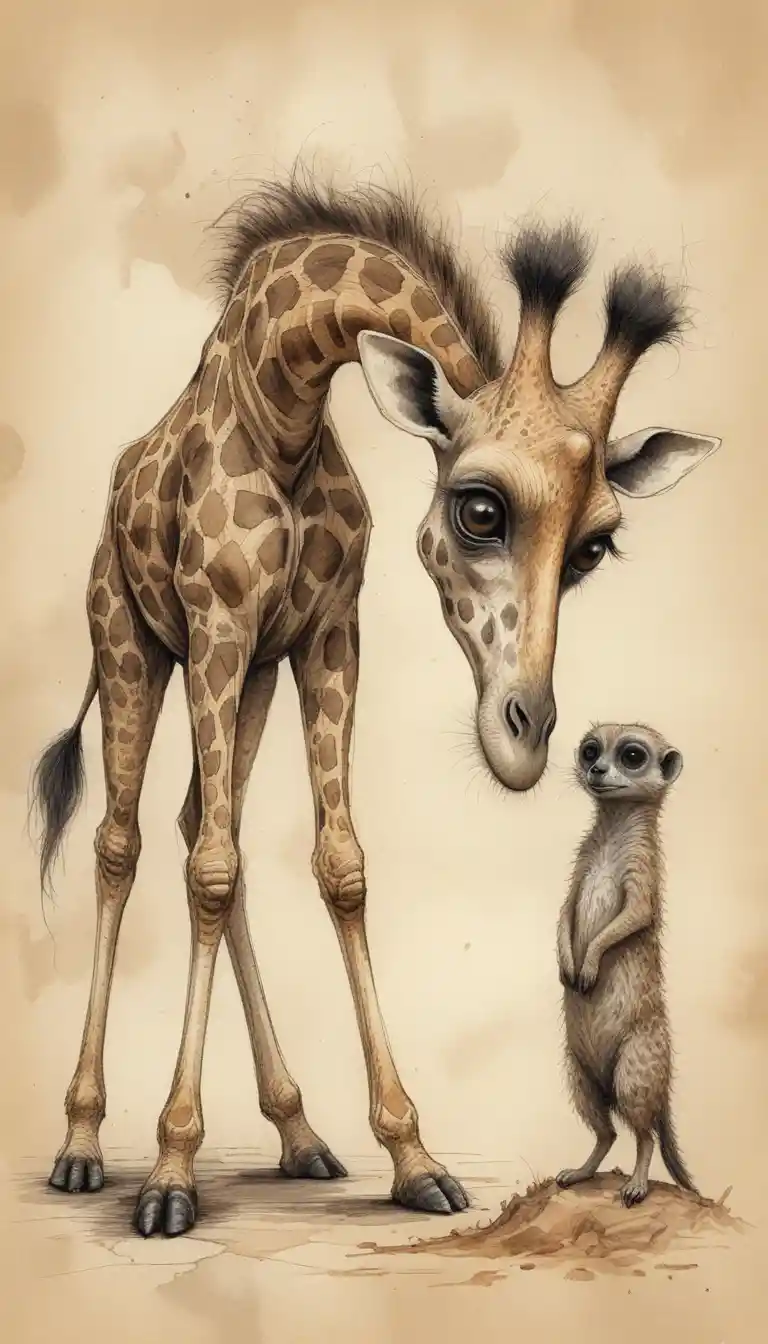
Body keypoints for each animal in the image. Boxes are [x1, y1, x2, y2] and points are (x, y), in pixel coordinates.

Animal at [32, 172, 720, 1237]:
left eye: (595, 546)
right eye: (479, 508)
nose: (528, 739)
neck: (284, 402)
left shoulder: (323, 637)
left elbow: (334, 866)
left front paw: (412, 1157)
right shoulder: (219, 626)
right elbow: (210, 871)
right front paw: (171, 1173)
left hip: (251, 677)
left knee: (200, 824)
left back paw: (299, 1133)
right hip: (133, 644)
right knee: (124, 841)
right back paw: (82, 1144)